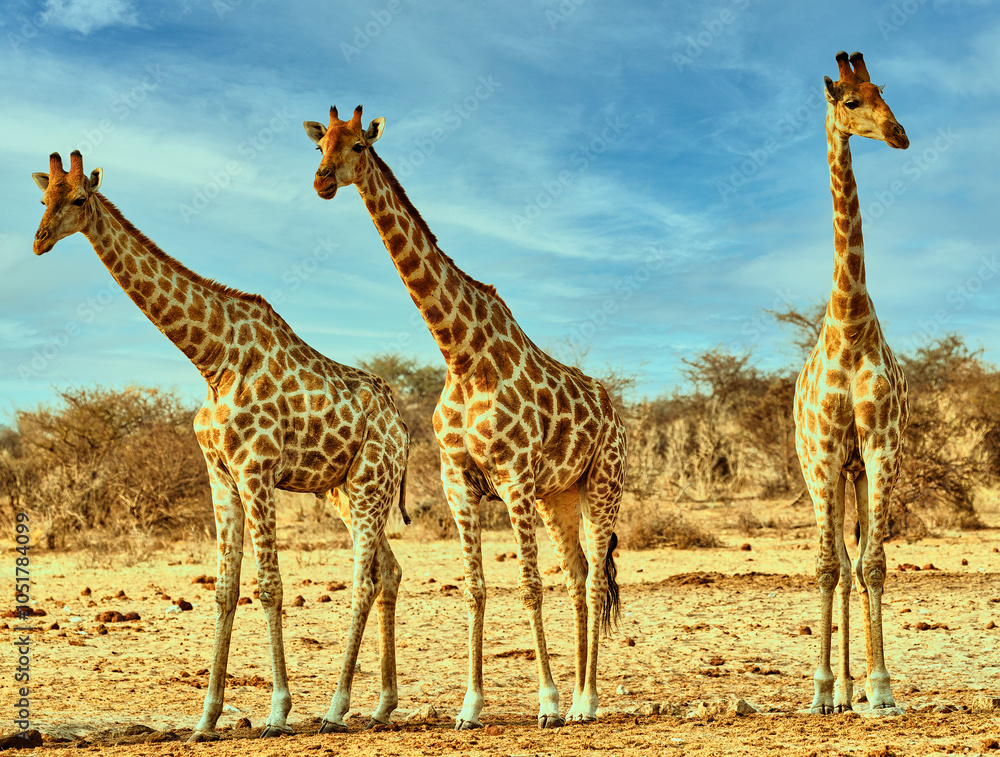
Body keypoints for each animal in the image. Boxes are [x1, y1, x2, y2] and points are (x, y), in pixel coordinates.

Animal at [31, 150, 411, 738]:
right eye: (41, 198)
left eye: (76, 199)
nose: (39, 240)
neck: (211, 358)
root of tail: (404, 428)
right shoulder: (220, 474)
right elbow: (225, 589)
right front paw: (206, 717)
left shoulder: (257, 467)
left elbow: (270, 585)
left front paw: (278, 712)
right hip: (343, 492)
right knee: (388, 571)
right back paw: (382, 705)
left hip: (371, 484)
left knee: (364, 580)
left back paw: (336, 708)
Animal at [303, 106, 628, 729]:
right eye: (319, 145)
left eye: (358, 145)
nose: (322, 182)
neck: (462, 354)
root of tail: (618, 415)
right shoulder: (459, 481)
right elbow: (475, 587)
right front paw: (470, 706)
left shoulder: (515, 477)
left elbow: (527, 586)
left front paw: (547, 703)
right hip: (560, 495)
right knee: (578, 576)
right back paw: (580, 698)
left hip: (603, 484)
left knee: (597, 579)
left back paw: (585, 702)